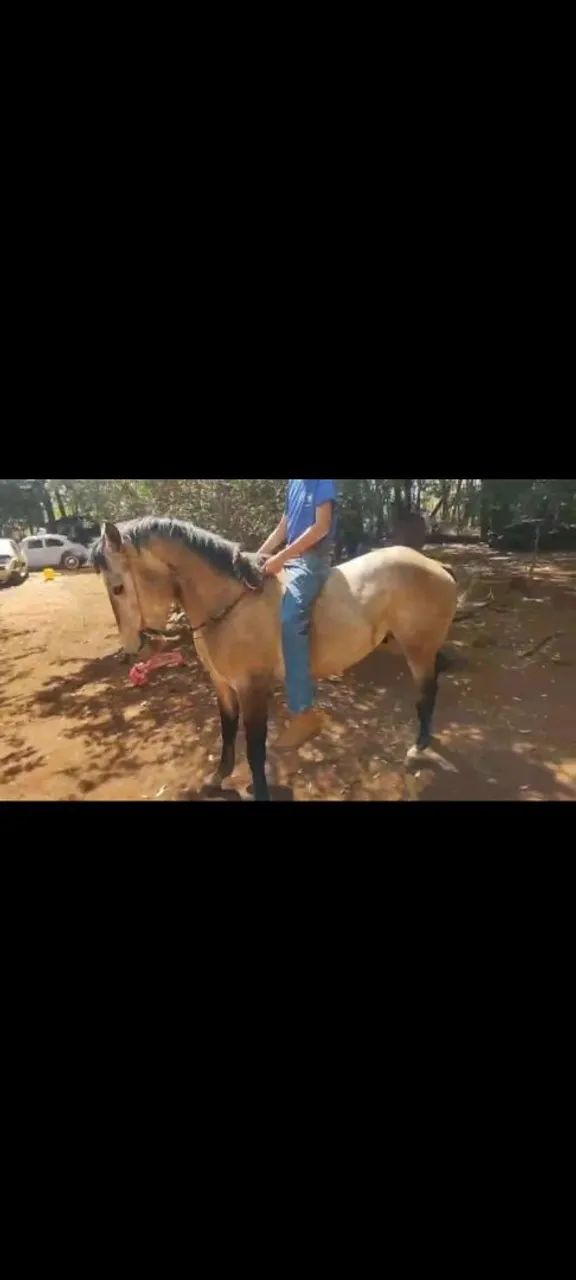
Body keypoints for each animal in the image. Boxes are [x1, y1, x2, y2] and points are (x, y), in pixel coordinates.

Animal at [93, 517, 458, 801]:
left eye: (118, 588)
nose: (134, 648)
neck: (230, 602)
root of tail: (436, 566)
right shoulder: (223, 685)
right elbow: (227, 730)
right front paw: (218, 777)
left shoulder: (252, 687)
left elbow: (255, 745)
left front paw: (259, 789)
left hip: (418, 650)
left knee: (427, 693)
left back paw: (418, 748)